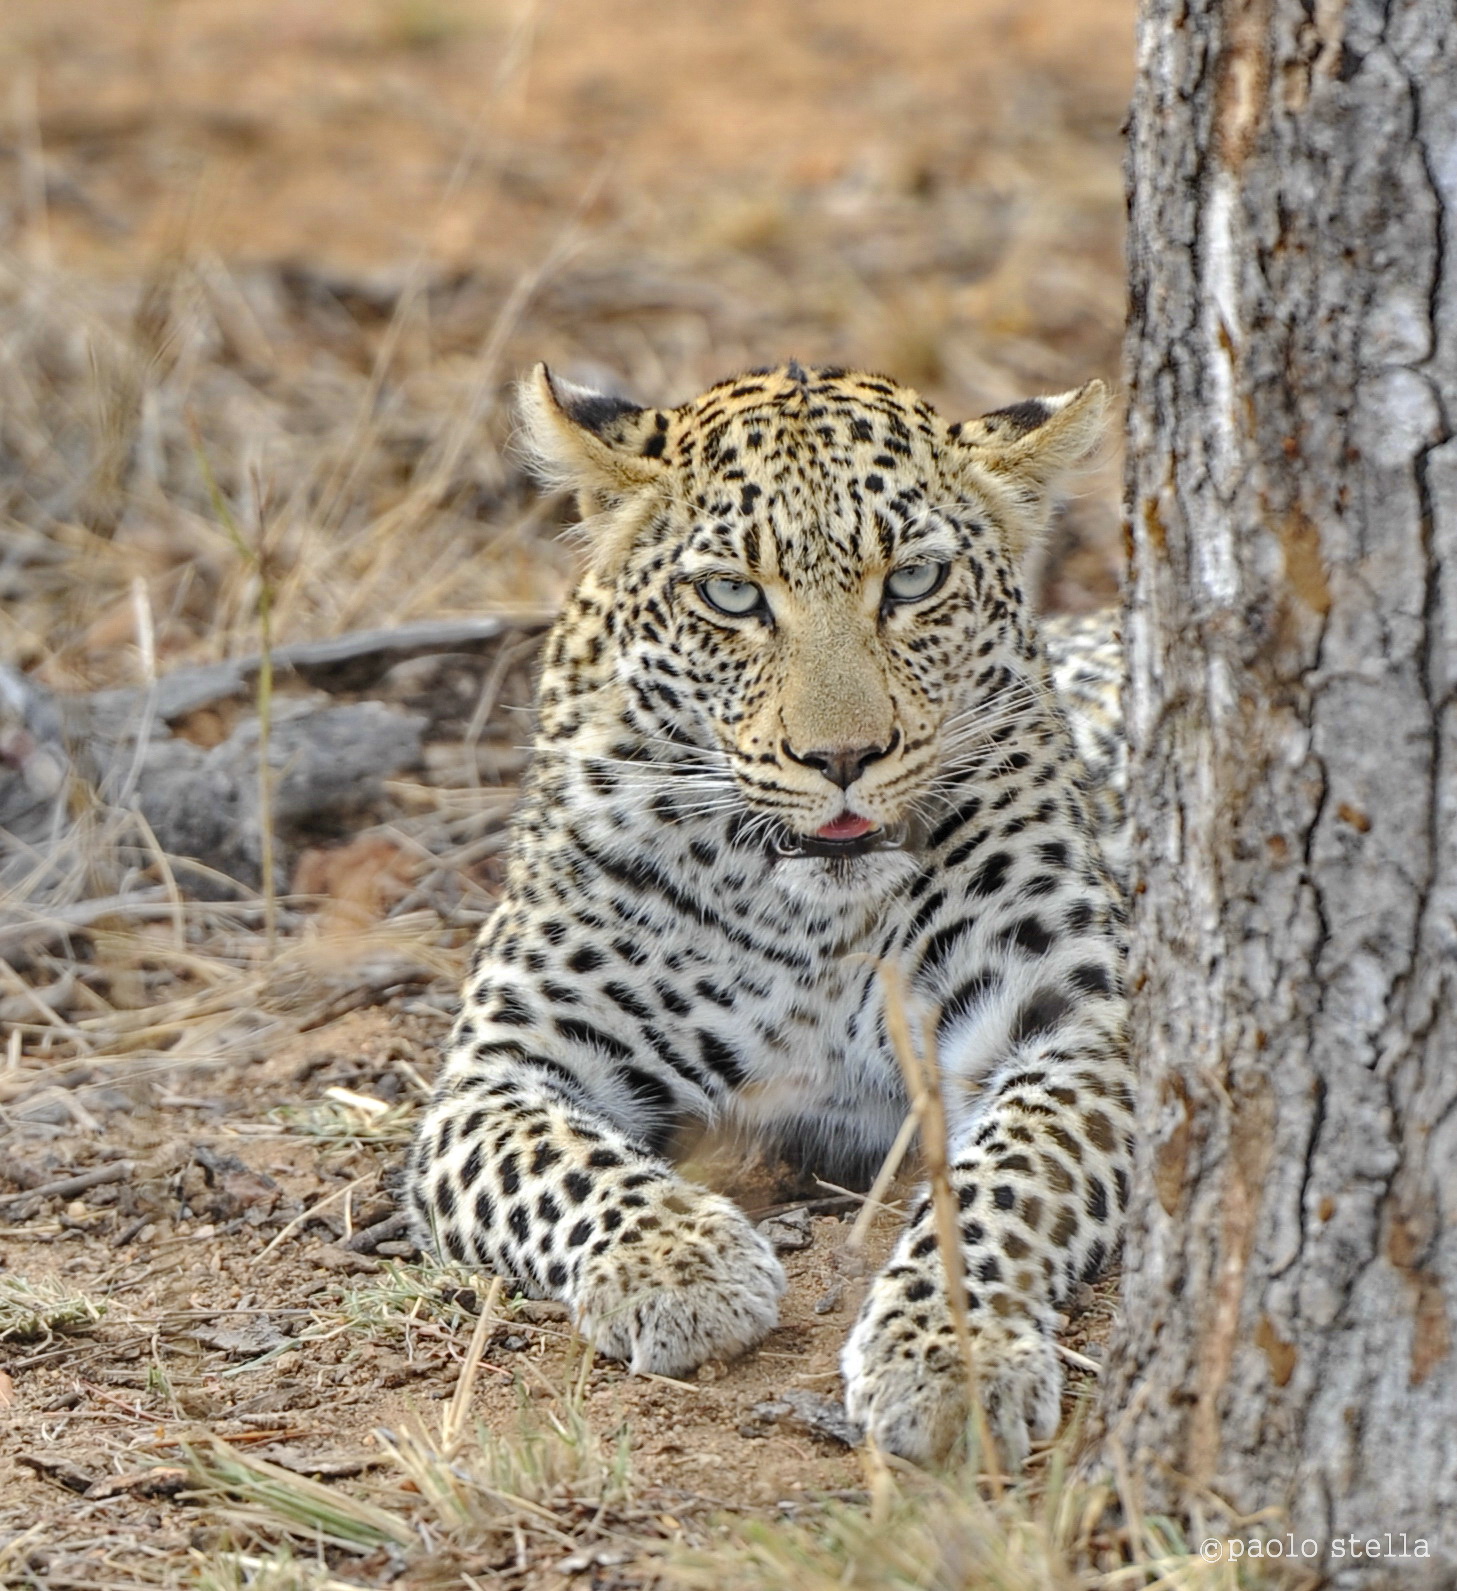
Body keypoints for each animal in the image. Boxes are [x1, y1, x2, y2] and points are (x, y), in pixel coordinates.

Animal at [406, 360, 1133, 1468]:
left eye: (911, 582)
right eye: (730, 594)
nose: (841, 757)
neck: (809, 922)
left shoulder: (1077, 1029)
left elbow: (1003, 1183)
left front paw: (950, 1353)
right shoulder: (500, 1068)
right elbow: (560, 1162)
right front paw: (680, 1263)